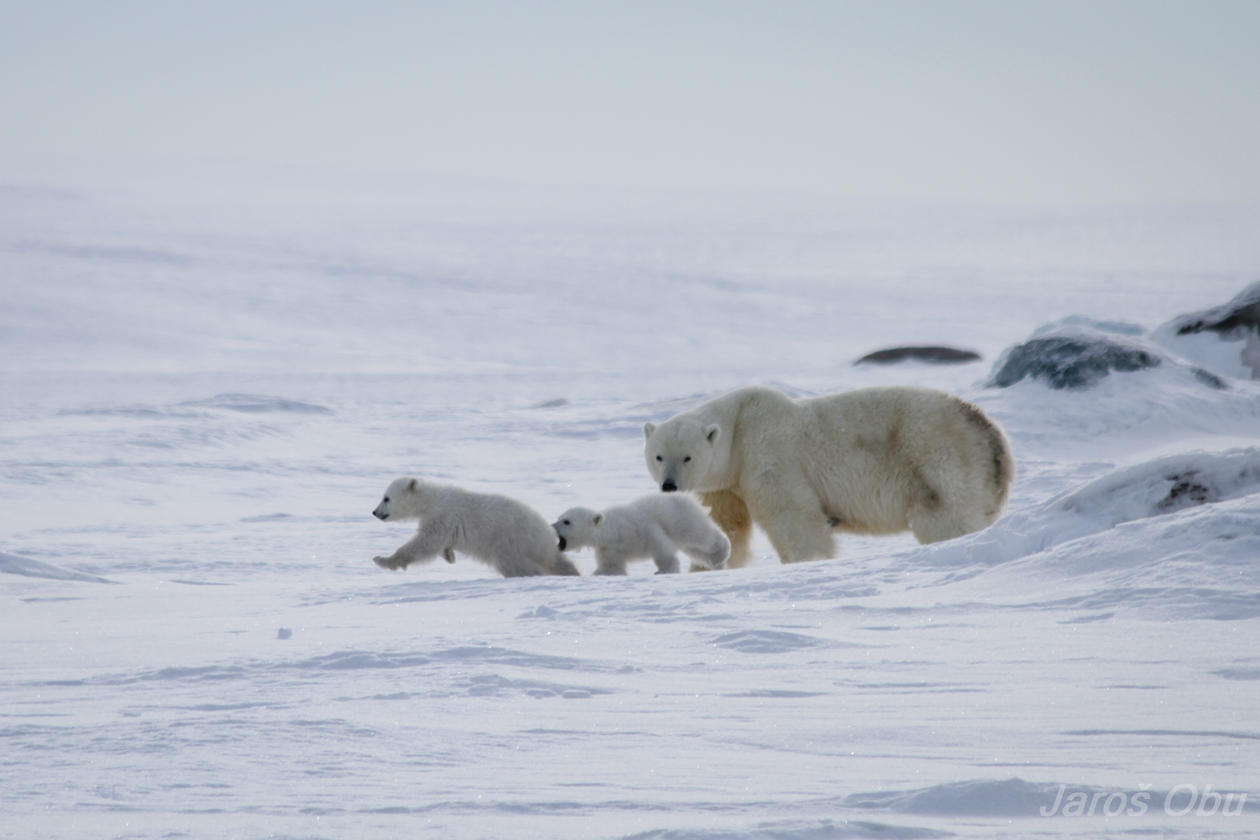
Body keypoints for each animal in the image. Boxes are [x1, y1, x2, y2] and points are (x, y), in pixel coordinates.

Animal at [645, 385, 1018, 564]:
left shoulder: (770, 454)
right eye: (658, 455)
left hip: (938, 461)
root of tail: (993, 439)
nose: (669, 485)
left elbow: (793, 516)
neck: (739, 427)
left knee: (947, 519)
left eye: (688, 457)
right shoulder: (728, 485)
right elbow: (726, 525)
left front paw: (808, 561)